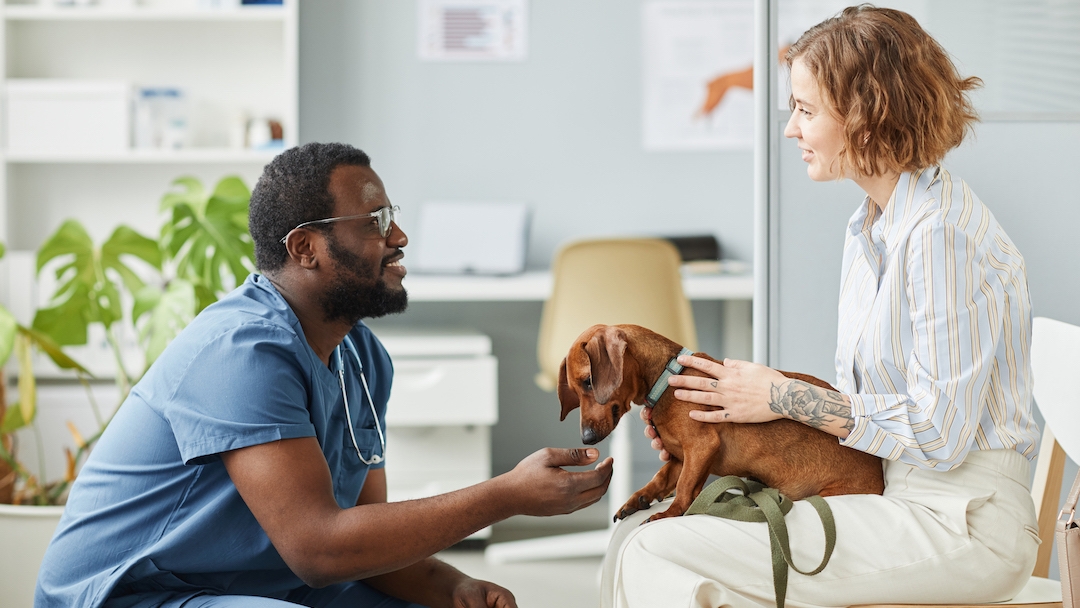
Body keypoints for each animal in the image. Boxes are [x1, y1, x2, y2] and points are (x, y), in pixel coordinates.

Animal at [561, 326, 881, 520]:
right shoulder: (680, 457)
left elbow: (685, 486)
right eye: (576, 390)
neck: (667, 378)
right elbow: (662, 478)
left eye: (588, 382)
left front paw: (671, 513)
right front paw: (638, 499)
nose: (586, 438)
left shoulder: (701, 447)